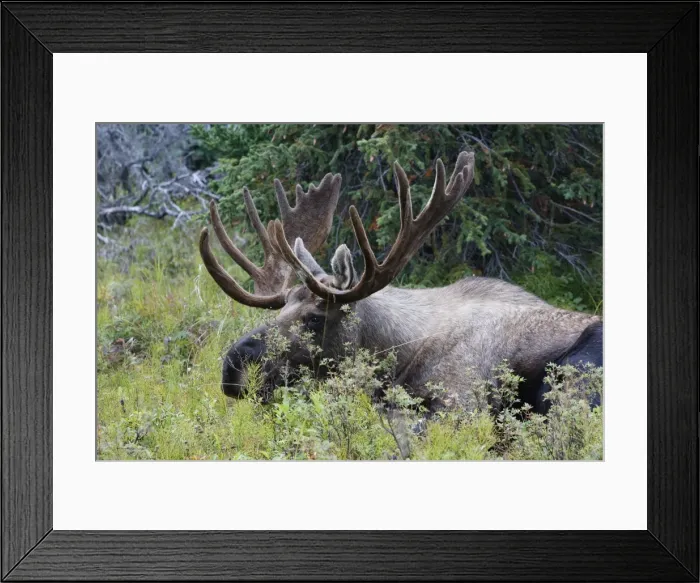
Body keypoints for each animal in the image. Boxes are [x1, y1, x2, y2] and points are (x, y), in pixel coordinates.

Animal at [199, 151, 602, 415]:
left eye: (316, 317)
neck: (397, 354)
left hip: (576, 373)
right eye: (281, 308)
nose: (233, 366)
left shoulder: (460, 403)